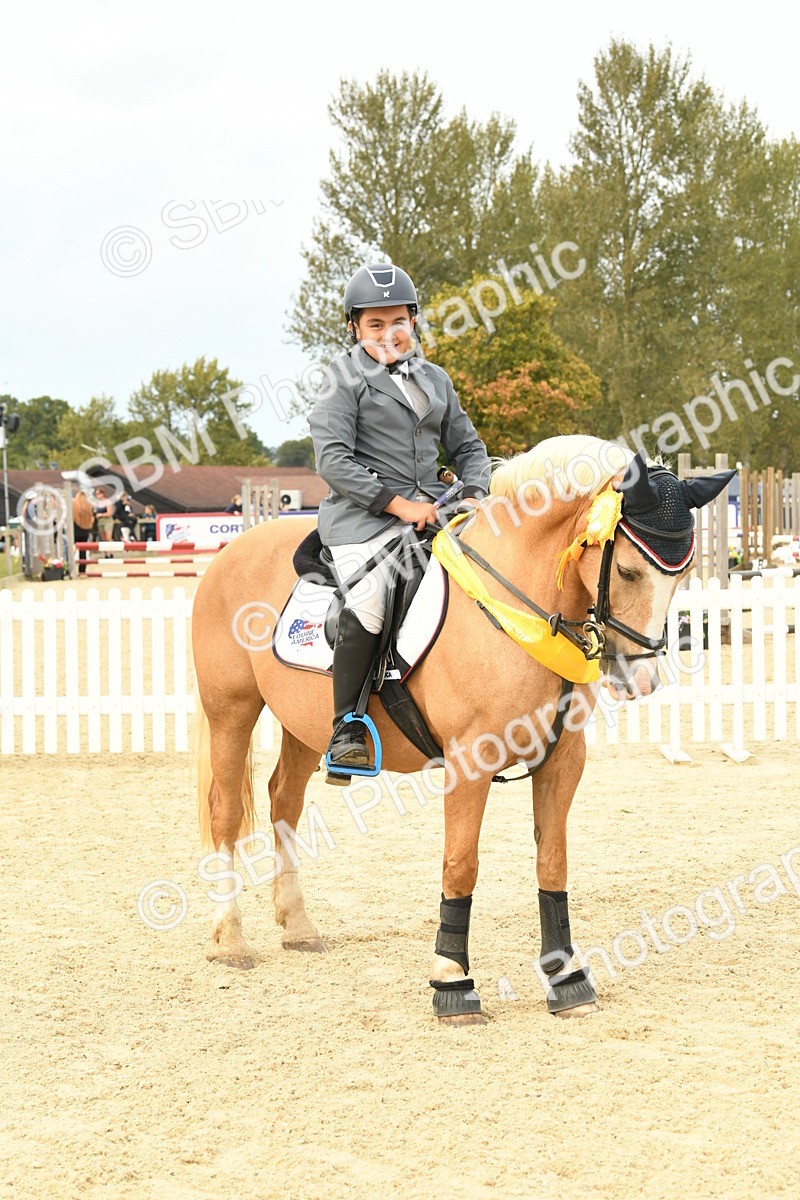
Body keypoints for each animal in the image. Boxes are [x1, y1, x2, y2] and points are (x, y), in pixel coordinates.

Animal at [190, 434, 733, 1024]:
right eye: (631, 571)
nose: (641, 679)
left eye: (681, 576)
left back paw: (298, 928)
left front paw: (567, 979)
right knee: (225, 814)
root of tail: (231, 552)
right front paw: (452, 983)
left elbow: (553, 862)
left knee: (283, 801)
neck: (516, 604)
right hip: (232, 711)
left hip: (304, 726)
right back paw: (229, 940)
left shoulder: (563, 758)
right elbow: (461, 865)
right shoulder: (470, 761)